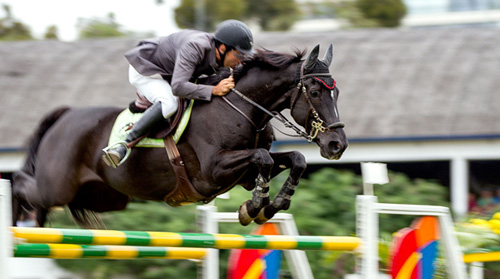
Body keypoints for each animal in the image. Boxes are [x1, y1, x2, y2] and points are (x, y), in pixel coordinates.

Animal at [12, 45, 348, 228]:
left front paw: (270, 205)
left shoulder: (242, 176)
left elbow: (296, 159)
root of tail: (64, 116)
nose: (337, 145)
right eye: (315, 92)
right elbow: (263, 157)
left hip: (105, 197)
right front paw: (254, 207)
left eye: (337, 93)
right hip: (57, 187)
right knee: (22, 184)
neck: (243, 108)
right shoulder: (213, 171)